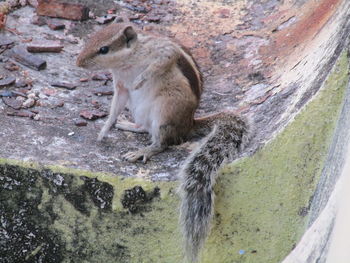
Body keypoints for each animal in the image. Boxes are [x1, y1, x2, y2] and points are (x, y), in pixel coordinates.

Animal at [76, 19, 250, 262]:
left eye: (104, 49)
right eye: (90, 38)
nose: (78, 62)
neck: (127, 62)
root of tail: (189, 124)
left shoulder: (160, 51)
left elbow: (164, 58)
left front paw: (141, 80)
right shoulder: (120, 86)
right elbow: (115, 106)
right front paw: (105, 128)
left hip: (164, 112)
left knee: (163, 142)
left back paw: (145, 150)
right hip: (140, 110)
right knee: (145, 127)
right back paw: (129, 125)